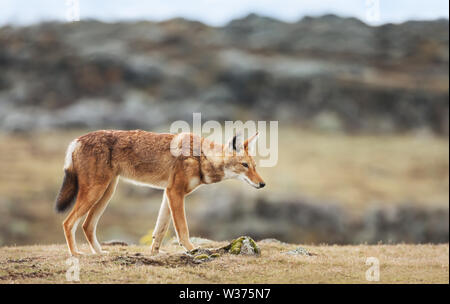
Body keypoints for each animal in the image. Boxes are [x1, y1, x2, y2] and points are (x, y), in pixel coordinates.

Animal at [53, 129, 264, 255]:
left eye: (254, 166)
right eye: (245, 165)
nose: (262, 184)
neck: (200, 157)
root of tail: (76, 140)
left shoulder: (167, 193)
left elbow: (160, 230)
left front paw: (154, 254)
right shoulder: (175, 193)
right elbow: (182, 229)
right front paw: (192, 250)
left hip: (106, 192)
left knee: (86, 225)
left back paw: (99, 253)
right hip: (96, 192)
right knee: (67, 223)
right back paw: (75, 254)